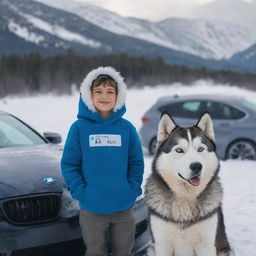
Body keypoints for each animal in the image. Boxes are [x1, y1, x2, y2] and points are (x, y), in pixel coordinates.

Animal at [145, 112, 231, 256]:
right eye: (179, 150)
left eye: (200, 149)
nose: (197, 166)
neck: (185, 198)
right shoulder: (163, 244)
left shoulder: (206, 245)